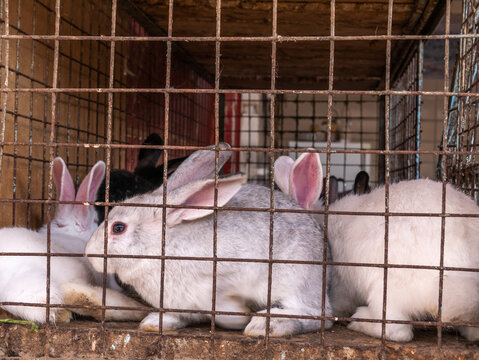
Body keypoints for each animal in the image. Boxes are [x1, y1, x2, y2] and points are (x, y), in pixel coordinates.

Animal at [85, 145, 334, 336]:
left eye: (118, 228)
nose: (89, 254)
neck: (161, 248)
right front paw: (154, 323)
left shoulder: (226, 279)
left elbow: (225, 308)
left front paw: (241, 316)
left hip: (296, 279)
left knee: (319, 315)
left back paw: (268, 325)